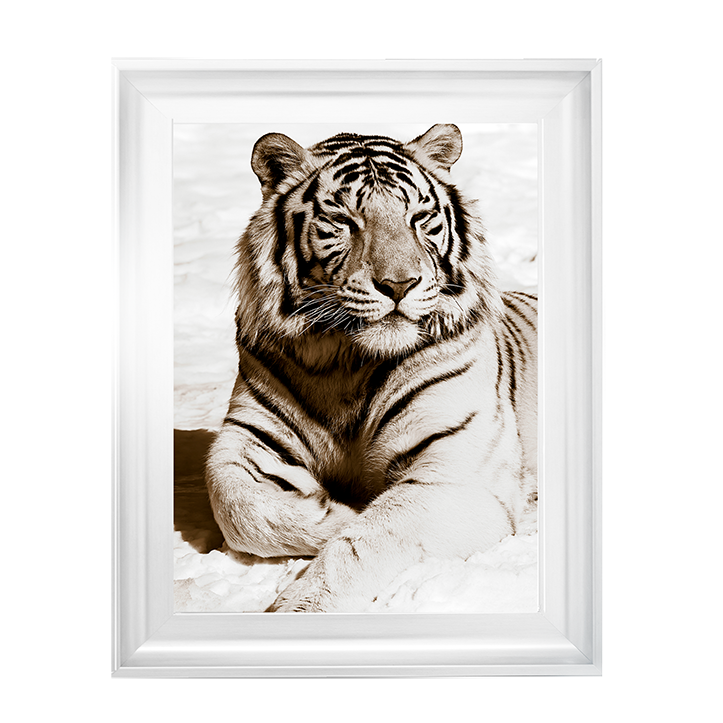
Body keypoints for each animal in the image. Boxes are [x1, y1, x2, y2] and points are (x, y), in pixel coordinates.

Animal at [205, 124, 537, 612]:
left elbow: (368, 541)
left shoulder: (456, 476)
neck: (347, 362)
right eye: (345, 221)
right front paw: (339, 511)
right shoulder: (246, 439)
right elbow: (236, 506)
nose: (399, 285)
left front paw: (301, 604)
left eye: (419, 217)